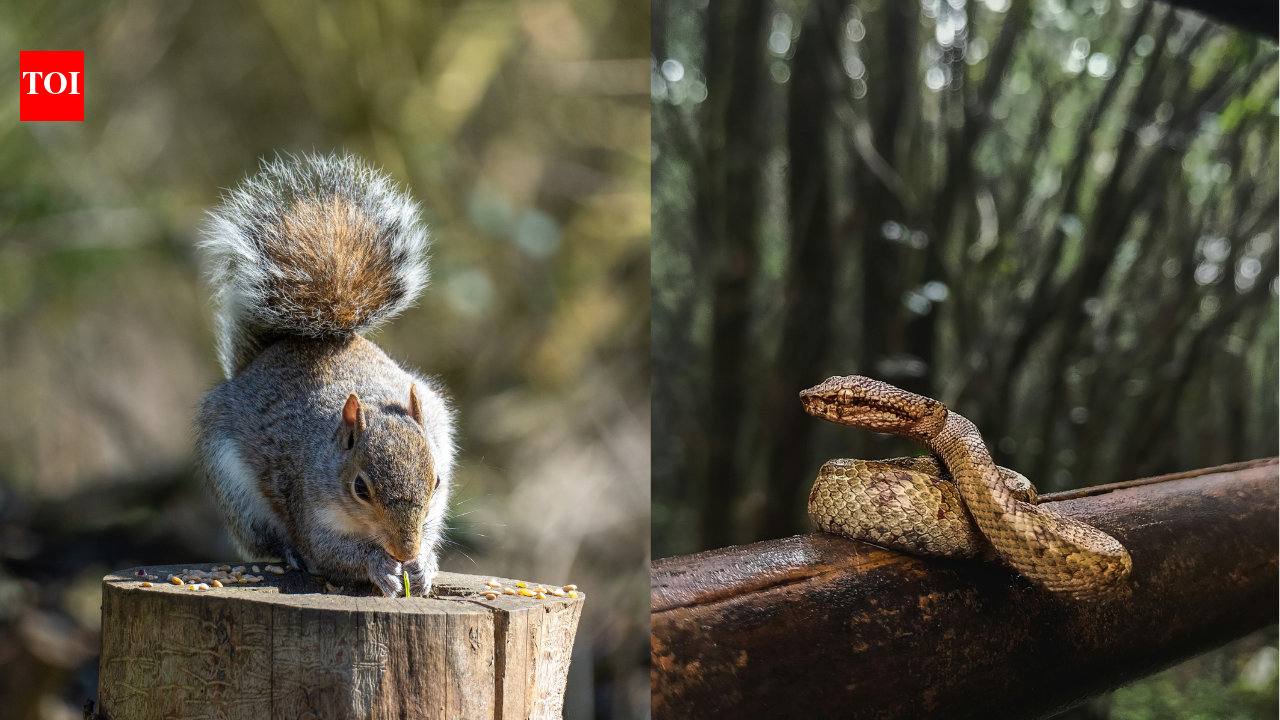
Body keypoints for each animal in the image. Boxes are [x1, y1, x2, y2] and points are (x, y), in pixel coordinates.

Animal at [194, 153, 456, 597]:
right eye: (360, 488)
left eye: (436, 481)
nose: (405, 551)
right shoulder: (309, 505)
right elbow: (330, 553)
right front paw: (379, 566)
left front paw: (423, 565)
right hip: (237, 492)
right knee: (273, 541)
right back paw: (290, 554)